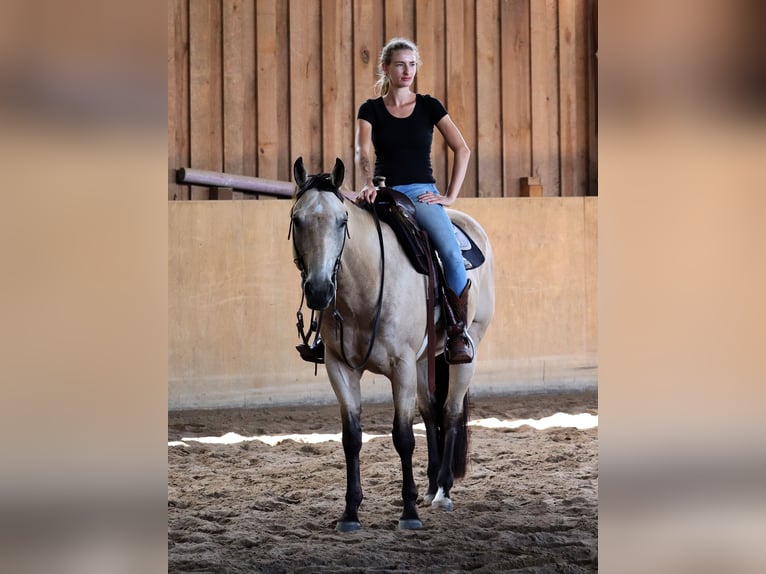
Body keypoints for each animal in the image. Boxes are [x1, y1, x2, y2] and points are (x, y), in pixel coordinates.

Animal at [289, 157, 495, 531]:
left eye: (342, 222)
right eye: (298, 219)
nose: (320, 290)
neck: (365, 287)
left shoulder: (400, 366)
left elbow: (403, 437)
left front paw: (409, 512)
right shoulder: (339, 367)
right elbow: (351, 438)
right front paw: (350, 512)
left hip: (468, 349)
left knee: (451, 411)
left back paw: (443, 491)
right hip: (423, 361)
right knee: (430, 411)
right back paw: (430, 487)